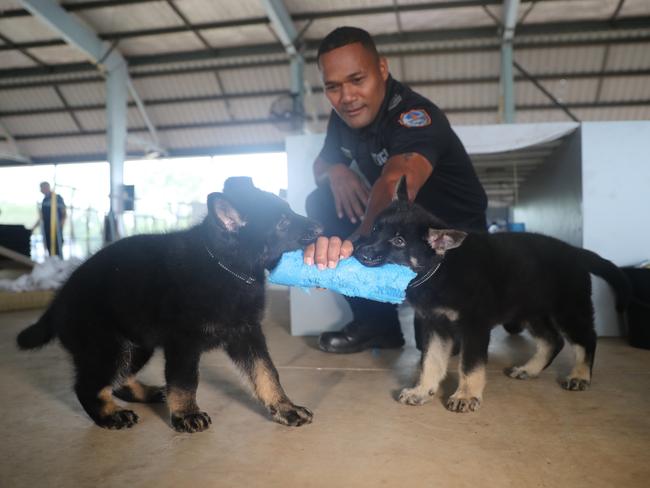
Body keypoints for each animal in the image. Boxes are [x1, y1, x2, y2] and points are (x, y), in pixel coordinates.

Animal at [19, 176, 322, 430]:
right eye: (282, 223)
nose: (320, 227)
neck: (225, 265)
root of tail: (60, 298)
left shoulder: (247, 336)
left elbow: (267, 374)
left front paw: (285, 408)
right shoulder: (183, 343)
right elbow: (185, 381)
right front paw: (187, 414)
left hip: (136, 346)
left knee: (118, 381)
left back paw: (146, 392)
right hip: (109, 349)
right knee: (88, 387)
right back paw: (110, 416)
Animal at [354, 177, 628, 414]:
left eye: (399, 241)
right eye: (375, 228)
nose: (359, 252)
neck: (439, 269)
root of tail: (575, 251)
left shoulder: (474, 327)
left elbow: (469, 365)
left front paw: (466, 395)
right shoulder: (435, 326)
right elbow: (430, 361)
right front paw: (422, 391)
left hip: (569, 310)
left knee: (586, 340)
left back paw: (580, 376)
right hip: (532, 312)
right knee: (553, 341)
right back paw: (529, 369)